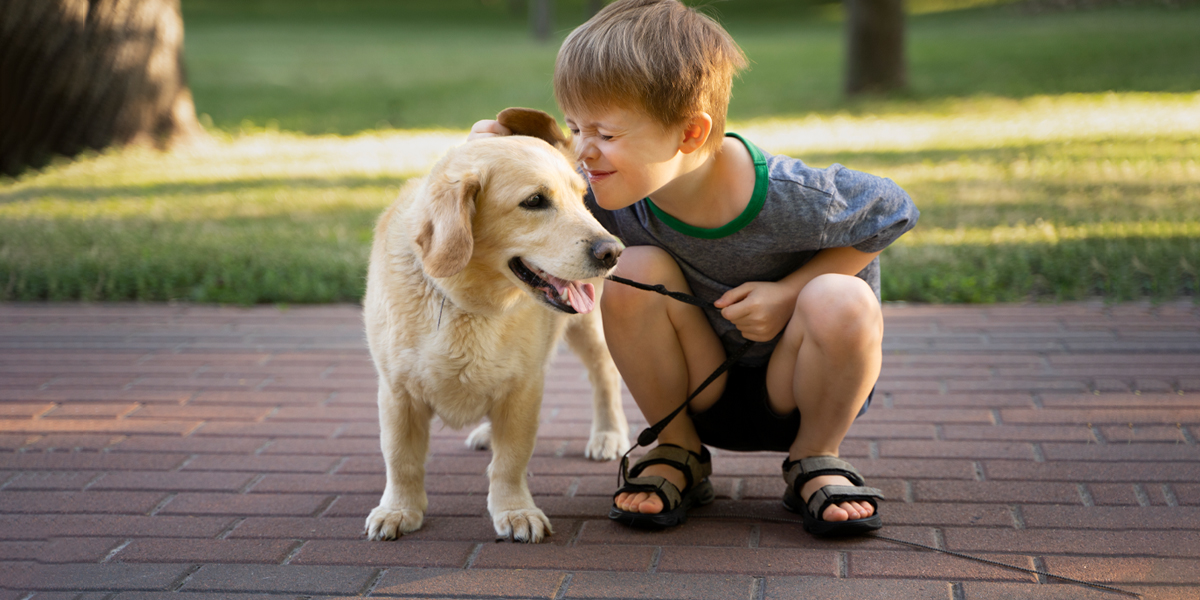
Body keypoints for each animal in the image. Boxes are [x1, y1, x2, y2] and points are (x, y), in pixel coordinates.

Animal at [362, 109, 633, 544]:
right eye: (534, 201)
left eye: (582, 198)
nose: (613, 252)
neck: (468, 303)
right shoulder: (397, 392)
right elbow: (401, 458)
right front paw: (399, 509)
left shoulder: (523, 389)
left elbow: (511, 460)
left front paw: (514, 510)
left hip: (590, 330)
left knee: (603, 376)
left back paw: (607, 433)